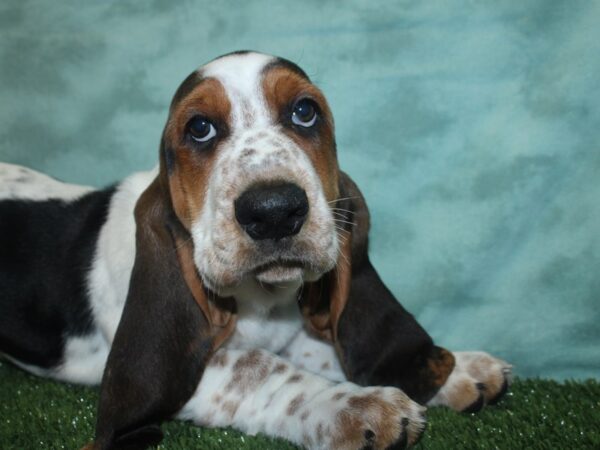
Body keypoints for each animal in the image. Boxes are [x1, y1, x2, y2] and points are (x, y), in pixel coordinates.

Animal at [0, 51, 510, 450]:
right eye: (199, 128)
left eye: (305, 112)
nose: (274, 211)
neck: (263, 300)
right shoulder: (202, 369)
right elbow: (265, 368)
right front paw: (360, 406)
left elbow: (326, 350)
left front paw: (460, 368)